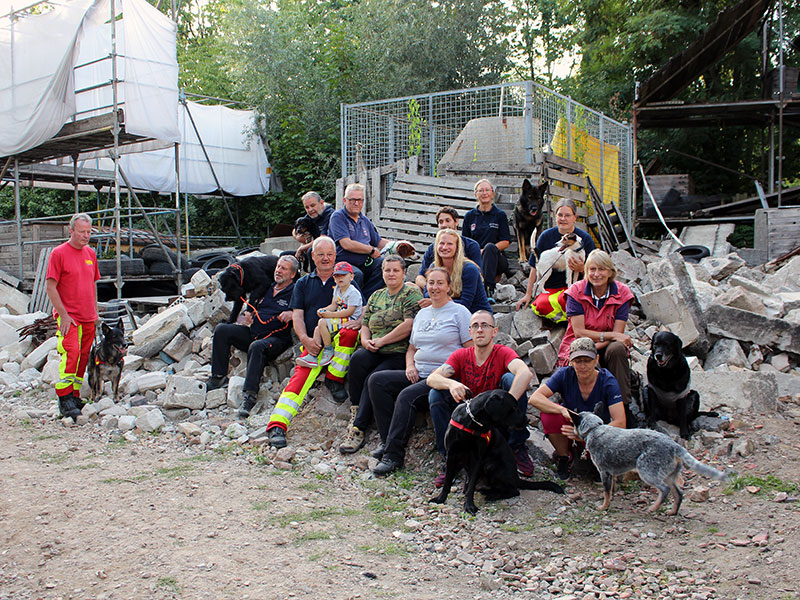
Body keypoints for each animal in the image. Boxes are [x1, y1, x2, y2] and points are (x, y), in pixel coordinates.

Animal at [432, 390, 564, 516]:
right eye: (513, 407)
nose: (527, 420)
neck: (472, 423)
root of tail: (517, 478)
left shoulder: (477, 459)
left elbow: (471, 487)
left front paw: (469, 505)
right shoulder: (451, 455)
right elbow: (448, 481)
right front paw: (440, 499)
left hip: (492, 466)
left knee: (514, 491)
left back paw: (492, 495)